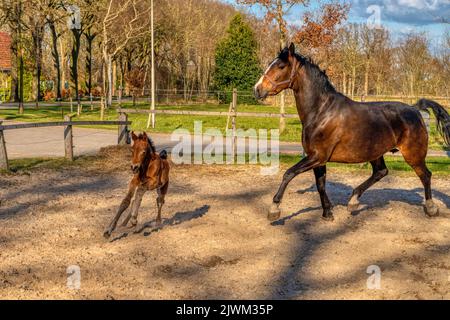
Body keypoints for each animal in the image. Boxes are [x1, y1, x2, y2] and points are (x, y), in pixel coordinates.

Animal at [255, 42, 450, 221]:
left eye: (281, 66)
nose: (257, 89)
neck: (321, 111)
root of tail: (414, 109)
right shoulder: (318, 159)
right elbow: (320, 185)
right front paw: (327, 213)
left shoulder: (317, 156)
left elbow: (289, 173)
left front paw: (274, 209)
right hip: (375, 152)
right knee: (381, 172)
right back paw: (353, 201)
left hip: (413, 155)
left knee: (425, 175)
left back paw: (431, 208)